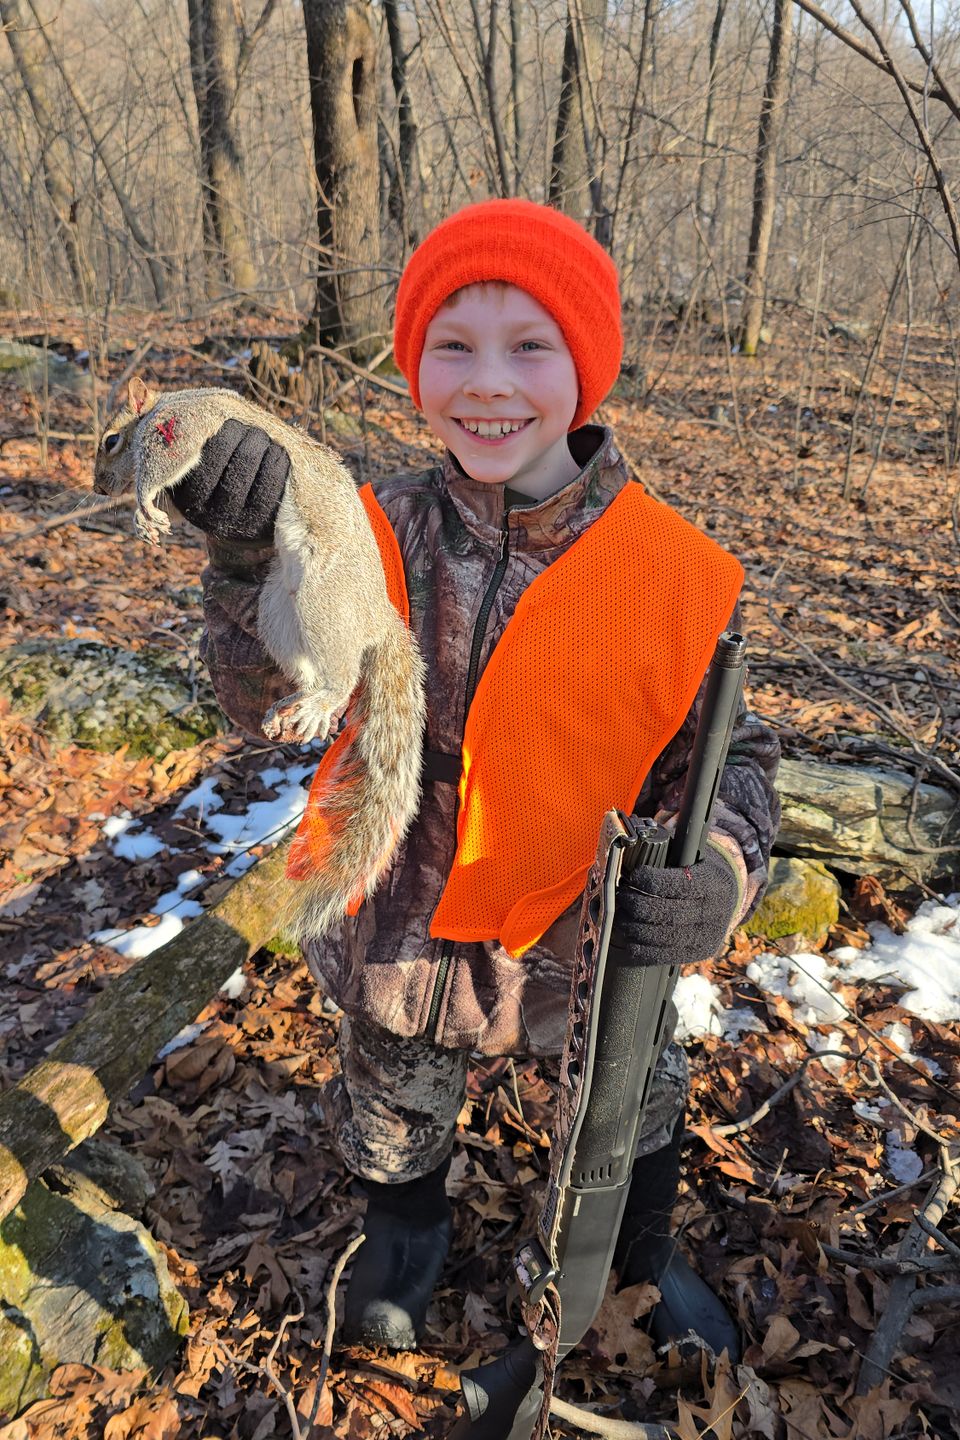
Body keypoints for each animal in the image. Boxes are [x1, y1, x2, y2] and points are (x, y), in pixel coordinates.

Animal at [93, 376, 427, 938]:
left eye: (110, 440)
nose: (98, 488)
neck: (163, 404)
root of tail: (378, 616)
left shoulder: (184, 423)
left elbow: (167, 458)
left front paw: (143, 507)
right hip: (277, 611)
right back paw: (297, 708)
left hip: (322, 597)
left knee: (343, 674)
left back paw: (320, 702)